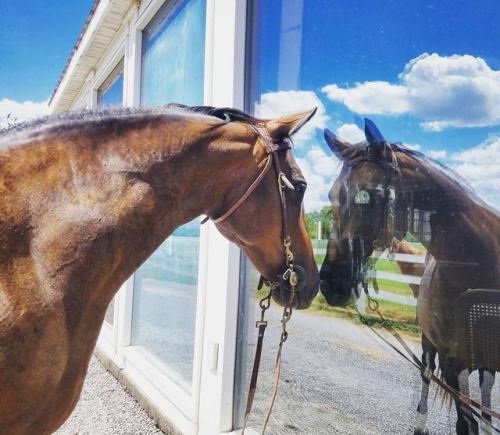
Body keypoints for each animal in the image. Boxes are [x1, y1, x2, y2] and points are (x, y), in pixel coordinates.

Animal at [320, 119, 500, 435]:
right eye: (331, 195)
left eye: (367, 194)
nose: (330, 282)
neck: (481, 267)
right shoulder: (453, 364)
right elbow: (465, 422)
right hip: (431, 346)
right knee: (427, 374)